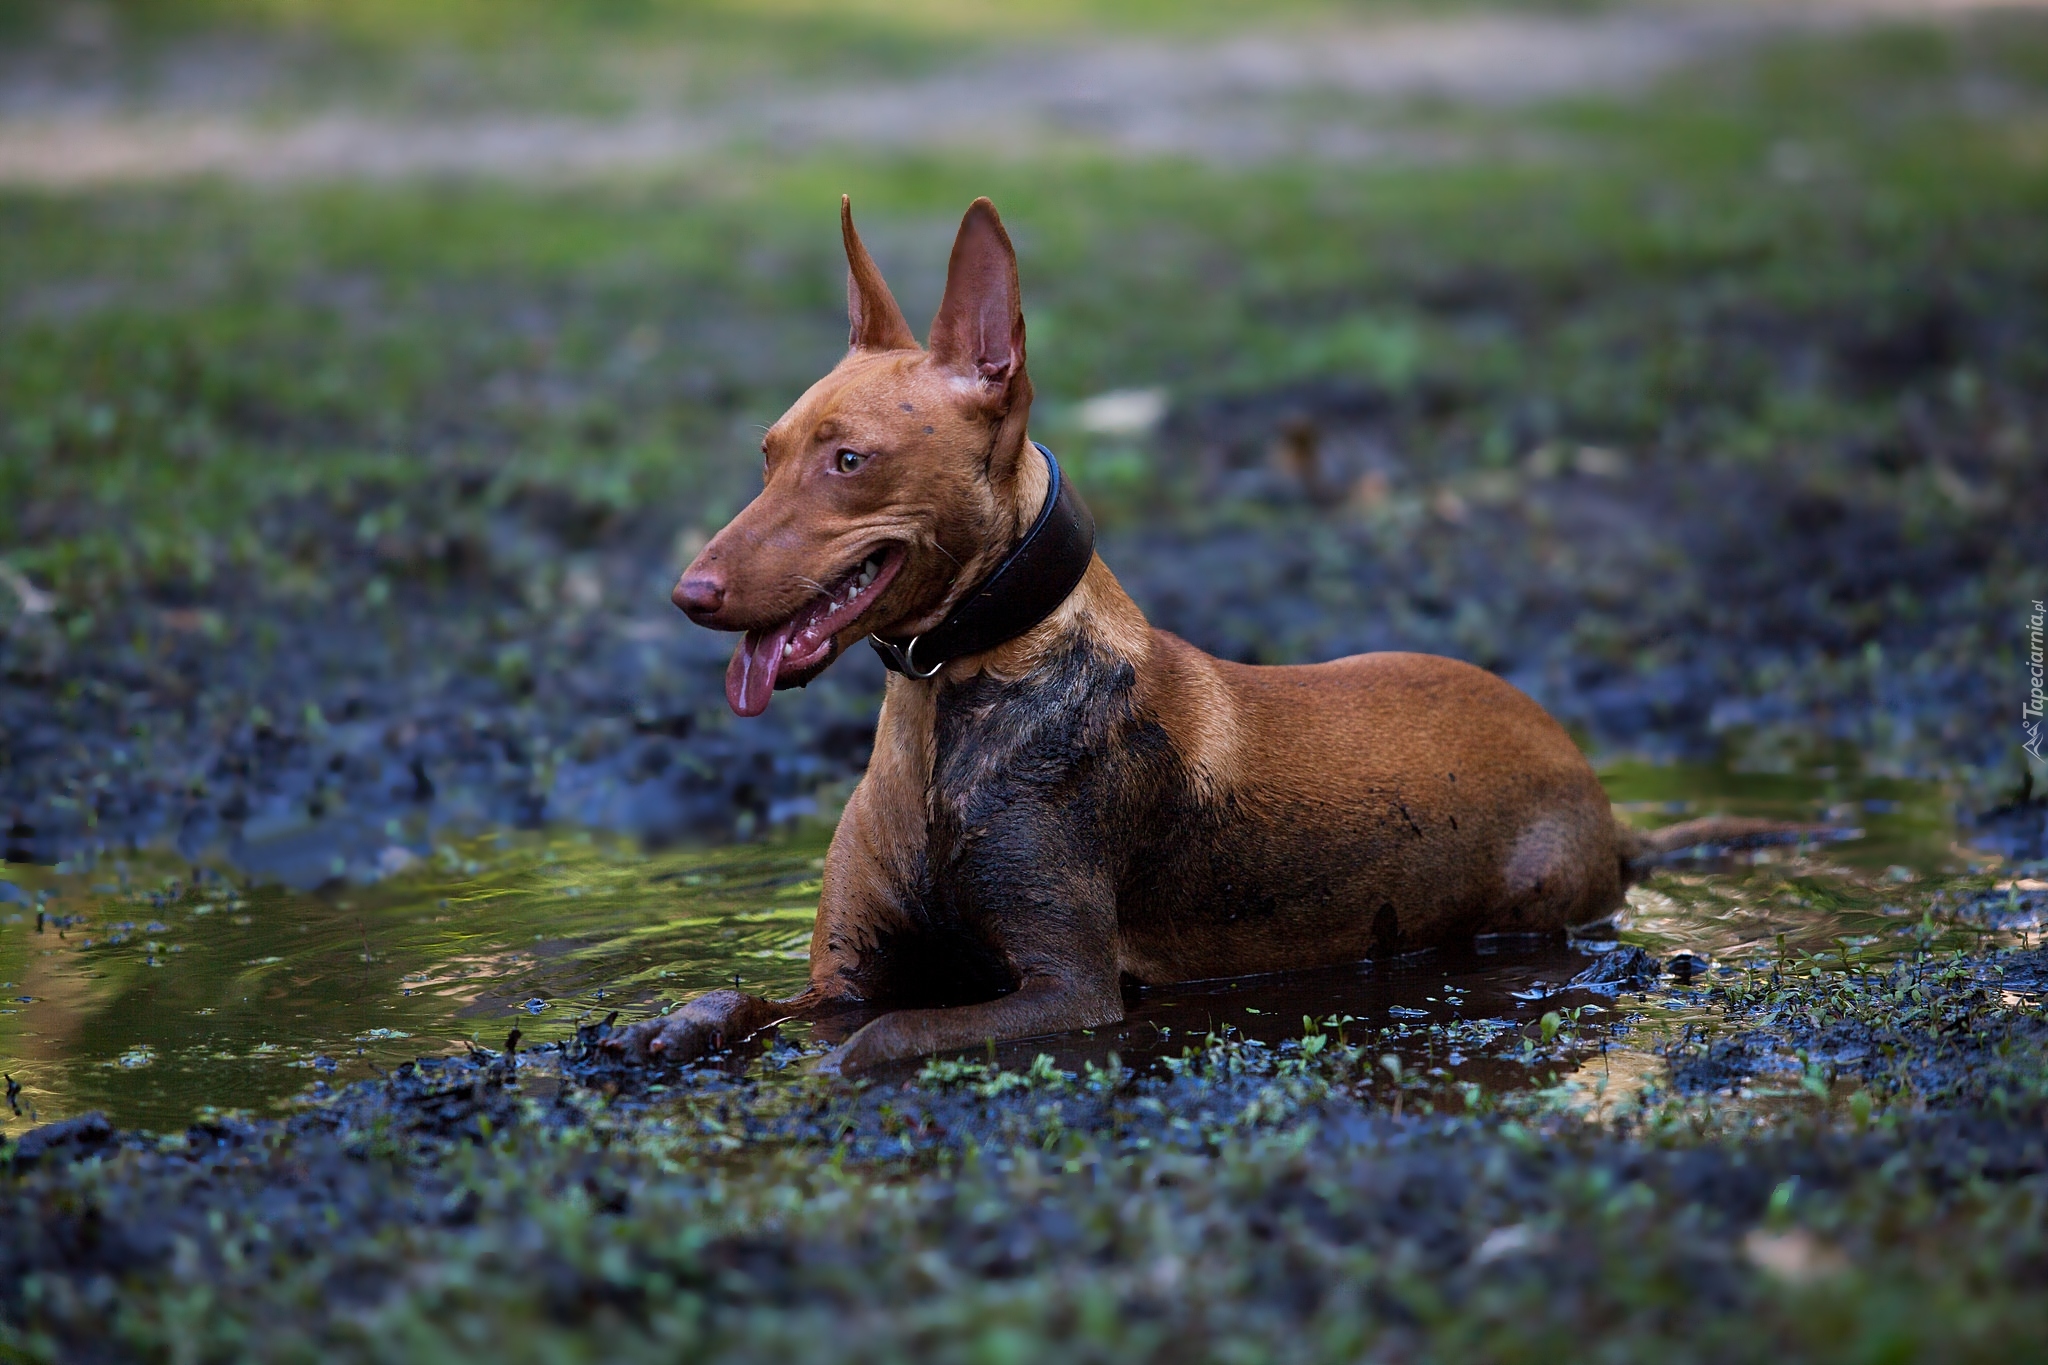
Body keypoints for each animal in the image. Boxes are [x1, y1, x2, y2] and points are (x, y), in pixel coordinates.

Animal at [614, 197, 1736, 1072]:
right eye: (767, 454)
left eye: (849, 461)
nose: (687, 593)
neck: (952, 695)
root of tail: (1600, 799)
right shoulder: (846, 974)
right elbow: (751, 1001)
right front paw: (667, 1026)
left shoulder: (1065, 989)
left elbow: (875, 1041)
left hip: (1523, 913)